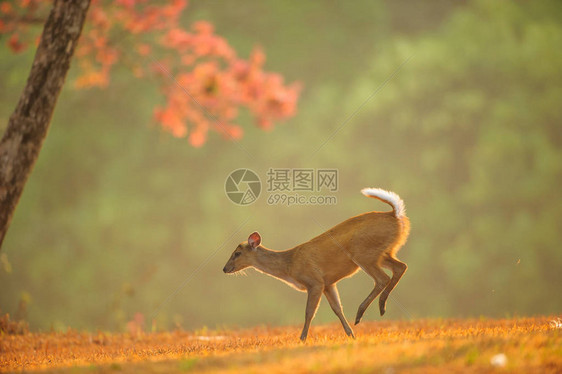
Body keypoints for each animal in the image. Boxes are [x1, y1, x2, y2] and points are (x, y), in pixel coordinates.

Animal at [221, 187, 410, 342]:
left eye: (237, 253)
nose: (224, 268)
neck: (289, 265)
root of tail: (395, 214)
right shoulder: (328, 283)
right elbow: (337, 309)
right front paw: (351, 335)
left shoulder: (315, 281)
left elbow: (309, 312)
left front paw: (302, 338)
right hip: (383, 252)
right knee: (401, 267)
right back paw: (379, 308)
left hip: (364, 253)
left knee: (382, 278)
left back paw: (362, 312)